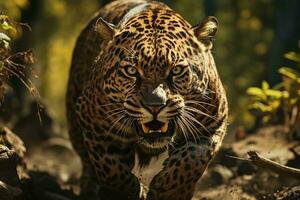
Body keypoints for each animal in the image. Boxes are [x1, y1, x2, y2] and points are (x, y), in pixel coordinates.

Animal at [66, 0, 227, 199]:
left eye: (176, 70)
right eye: (131, 71)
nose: (155, 106)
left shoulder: (211, 125)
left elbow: (192, 160)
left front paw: (168, 192)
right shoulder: (96, 127)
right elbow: (111, 169)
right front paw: (128, 192)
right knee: (85, 159)